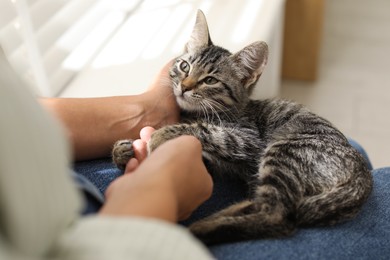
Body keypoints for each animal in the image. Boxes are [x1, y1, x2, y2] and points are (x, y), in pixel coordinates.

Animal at [111, 10, 374, 245]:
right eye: (184, 66)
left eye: (210, 80)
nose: (184, 87)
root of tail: (363, 175)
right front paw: (123, 149)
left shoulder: (246, 138)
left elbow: (203, 130)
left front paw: (160, 135)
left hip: (284, 150)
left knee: (278, 216)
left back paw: (203, 229)